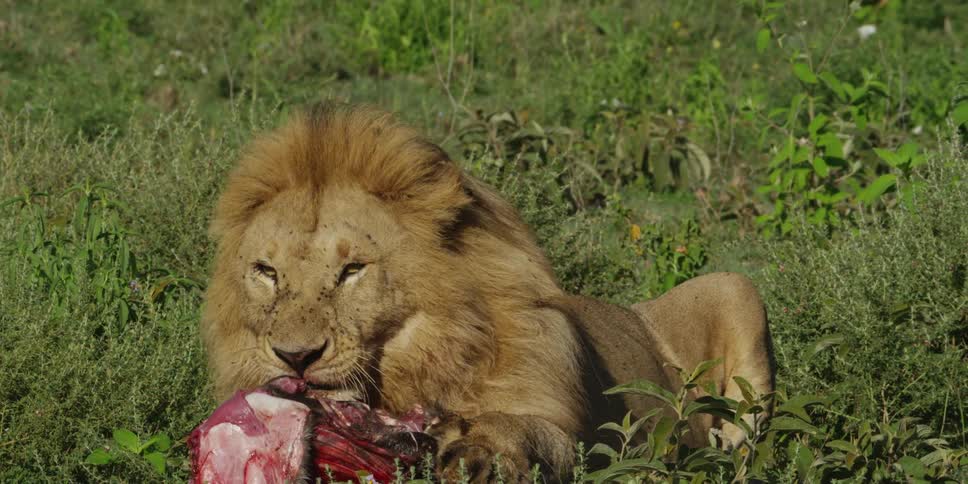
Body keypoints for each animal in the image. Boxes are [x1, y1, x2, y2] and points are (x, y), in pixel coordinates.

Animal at [201, 103, 773, 482]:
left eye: (352, 270)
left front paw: (476, 452)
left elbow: (521, 428)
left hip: (734, 285)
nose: (295, 357)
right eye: (267, 272)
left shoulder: (574, 434)